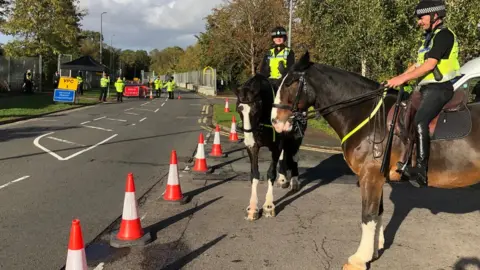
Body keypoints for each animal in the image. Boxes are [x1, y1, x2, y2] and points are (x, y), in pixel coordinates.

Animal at [270, 50, 480, 270]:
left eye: (290, 83)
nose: (275, 122)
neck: (367, 116)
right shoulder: (377, 177)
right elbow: (378, 212)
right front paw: (374, 251)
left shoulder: (369, 175)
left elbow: (368, 215)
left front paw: (359, 259)